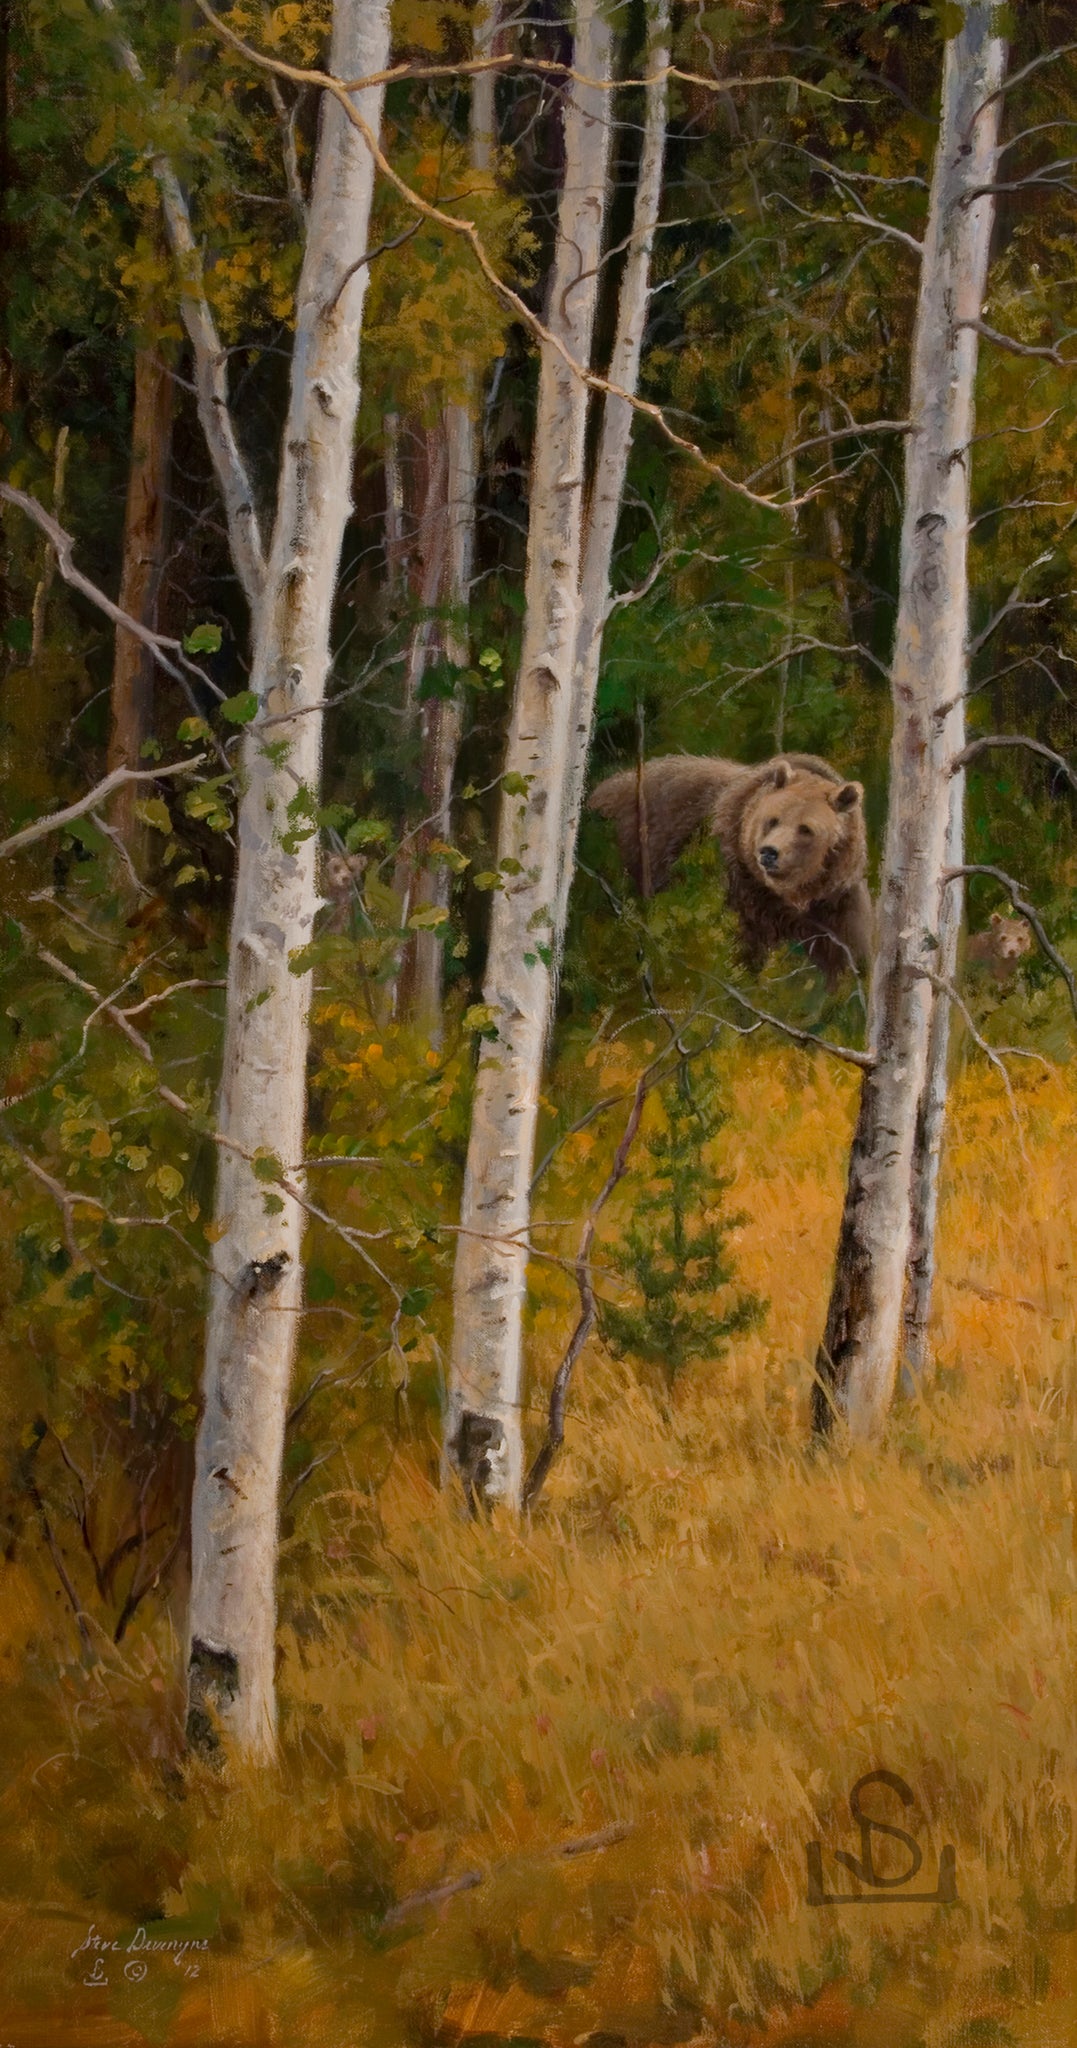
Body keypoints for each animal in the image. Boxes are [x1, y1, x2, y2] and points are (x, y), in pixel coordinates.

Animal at [585, 753, 872, 983]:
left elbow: (843, 956)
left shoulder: (835, 904)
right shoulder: (742, 890)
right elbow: (740, 946)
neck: (796, 896)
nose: (769, 853)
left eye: (805, 829)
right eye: (772, 820)